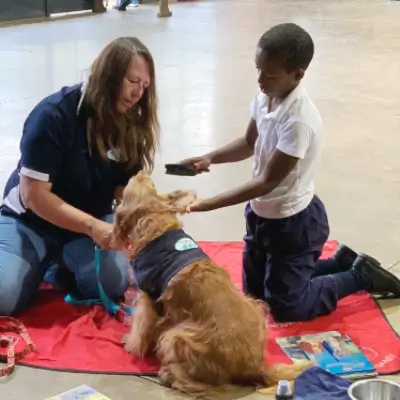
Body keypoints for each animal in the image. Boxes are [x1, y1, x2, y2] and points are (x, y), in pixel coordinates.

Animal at [112, 170, 312, 396]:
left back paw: (170, 375)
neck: (155, 221)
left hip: (176, 336)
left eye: (147, 183)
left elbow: (140, 329)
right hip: (254, 304)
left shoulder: (148, 298)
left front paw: (131, 344)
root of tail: (255, 366)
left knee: (199, 385)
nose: (140, 171)